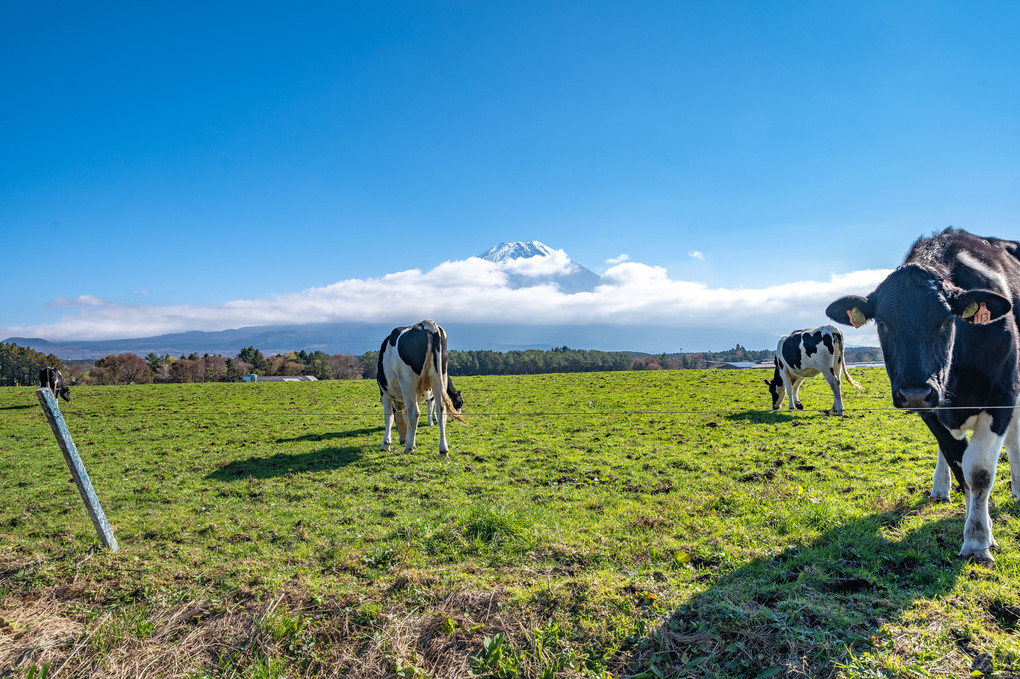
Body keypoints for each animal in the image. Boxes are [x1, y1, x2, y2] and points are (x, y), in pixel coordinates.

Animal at [379, 318, 467, 454]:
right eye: (460, 403)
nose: (402, 440)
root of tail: (427, 324)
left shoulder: (384, 393)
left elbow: (389, 417)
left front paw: (386, 444)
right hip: (438, 379)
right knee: (441, 411)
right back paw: (443, 449)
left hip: (408, 382)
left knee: (414, 412)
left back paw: (409, 447)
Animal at [828, 227, 1020, 558]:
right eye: (882, 323)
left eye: (946, 321)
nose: (915, 392)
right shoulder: (932, 410)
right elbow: (959, 462)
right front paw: (981, 529)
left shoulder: (1002, 397)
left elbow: (980, 472)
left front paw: (978, 542)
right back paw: (941, 488)